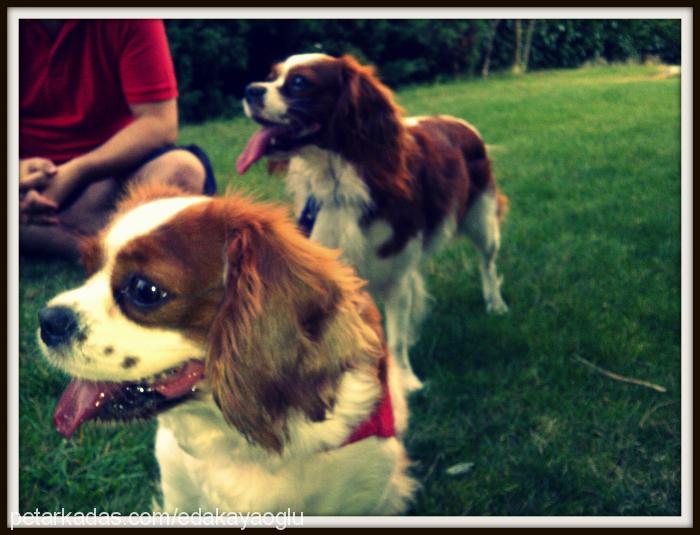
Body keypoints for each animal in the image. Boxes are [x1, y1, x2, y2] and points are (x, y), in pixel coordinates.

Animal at [238, 54, 512, 392]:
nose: (250, 90)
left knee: (487, 264)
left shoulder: (396, 270)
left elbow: (395, 339)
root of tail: (460, 123)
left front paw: (405, 382)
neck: (341, 180)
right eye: (271, 76)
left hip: (483, 223)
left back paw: (495, 303)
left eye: (300, 82)